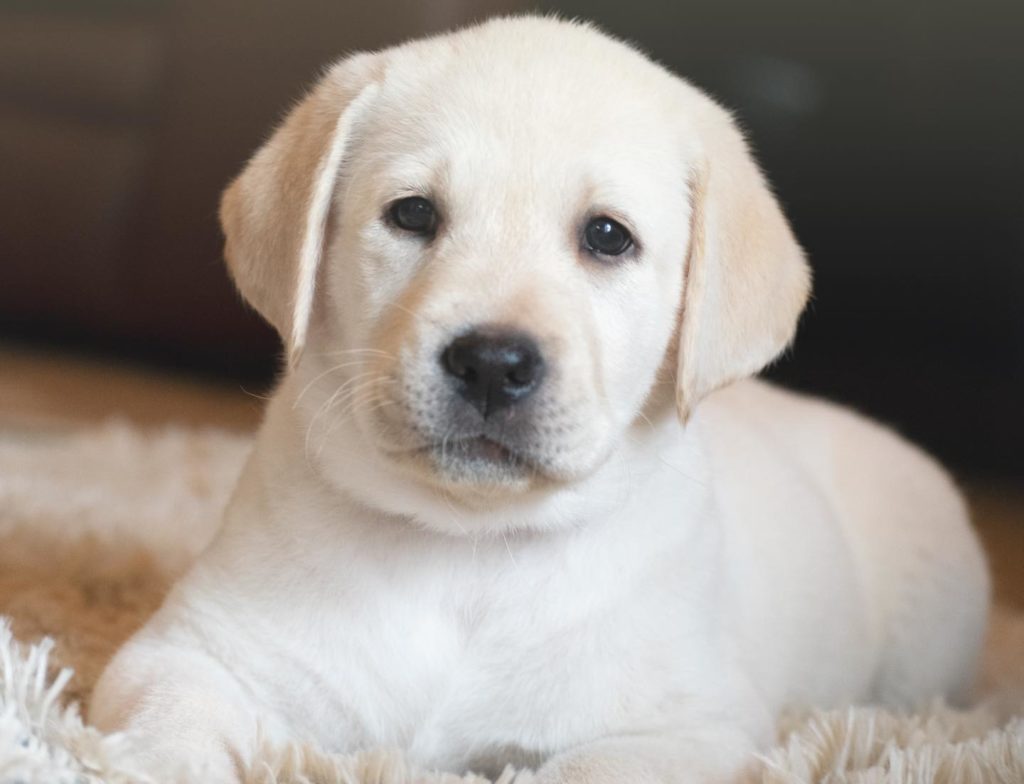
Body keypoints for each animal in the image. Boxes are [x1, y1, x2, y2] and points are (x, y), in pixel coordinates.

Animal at [92, 13, 987, 784]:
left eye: (607, 237)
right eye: (412, 214)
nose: (492, 363)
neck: (469, 550)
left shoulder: (696, 729)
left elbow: (582, 768)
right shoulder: (189, 653)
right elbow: (170, 730)